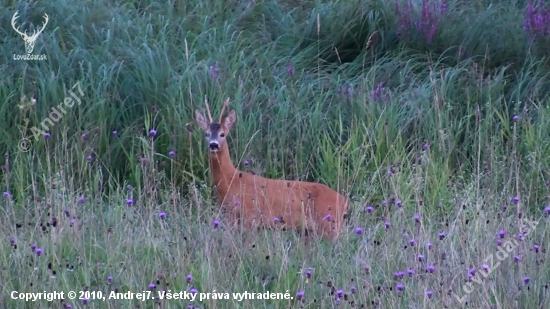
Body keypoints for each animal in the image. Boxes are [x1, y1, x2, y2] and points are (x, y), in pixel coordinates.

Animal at [195, 97, 350, 239]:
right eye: (207, 134)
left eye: (222, 134)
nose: (213, 145)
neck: (231, 181)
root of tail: (344, 201)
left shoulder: (249, 217)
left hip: (329, 225)